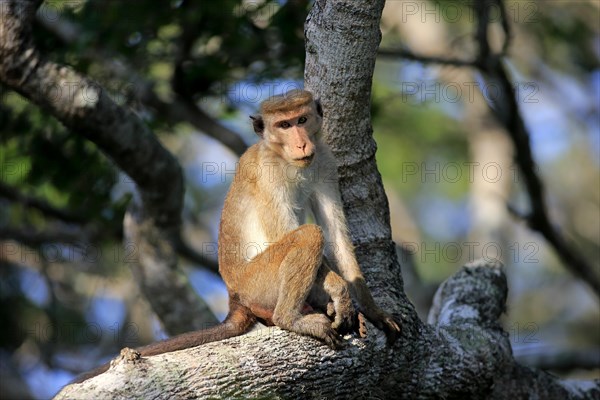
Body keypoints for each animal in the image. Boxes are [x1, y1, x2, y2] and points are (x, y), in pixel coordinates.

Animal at [74, 89, 398, 382]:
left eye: (302, 119)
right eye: (284, 125)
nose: (301, 142)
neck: (283, 158)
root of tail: (234, 296)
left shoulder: (326, 161)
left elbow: (337, 235)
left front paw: (372, 310)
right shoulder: (268, 172)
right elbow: (291, 232)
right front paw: (340, 291)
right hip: (256, 282)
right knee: (308, 235)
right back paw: (290, 318)